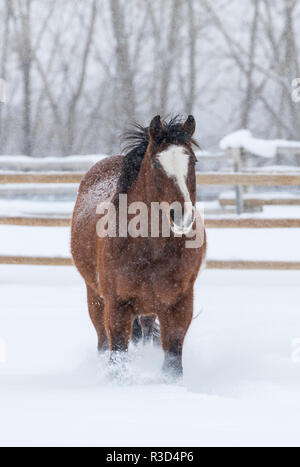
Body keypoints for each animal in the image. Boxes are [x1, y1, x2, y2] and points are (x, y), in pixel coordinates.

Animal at [71, 115, 206, 378]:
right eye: (155, 163)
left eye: (193, 160)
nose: (181, 216)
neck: (150, 250)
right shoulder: (117, 306)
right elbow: (117, 358)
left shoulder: (179, 304)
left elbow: (173, 362)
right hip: (95, 297)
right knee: (103, 343)